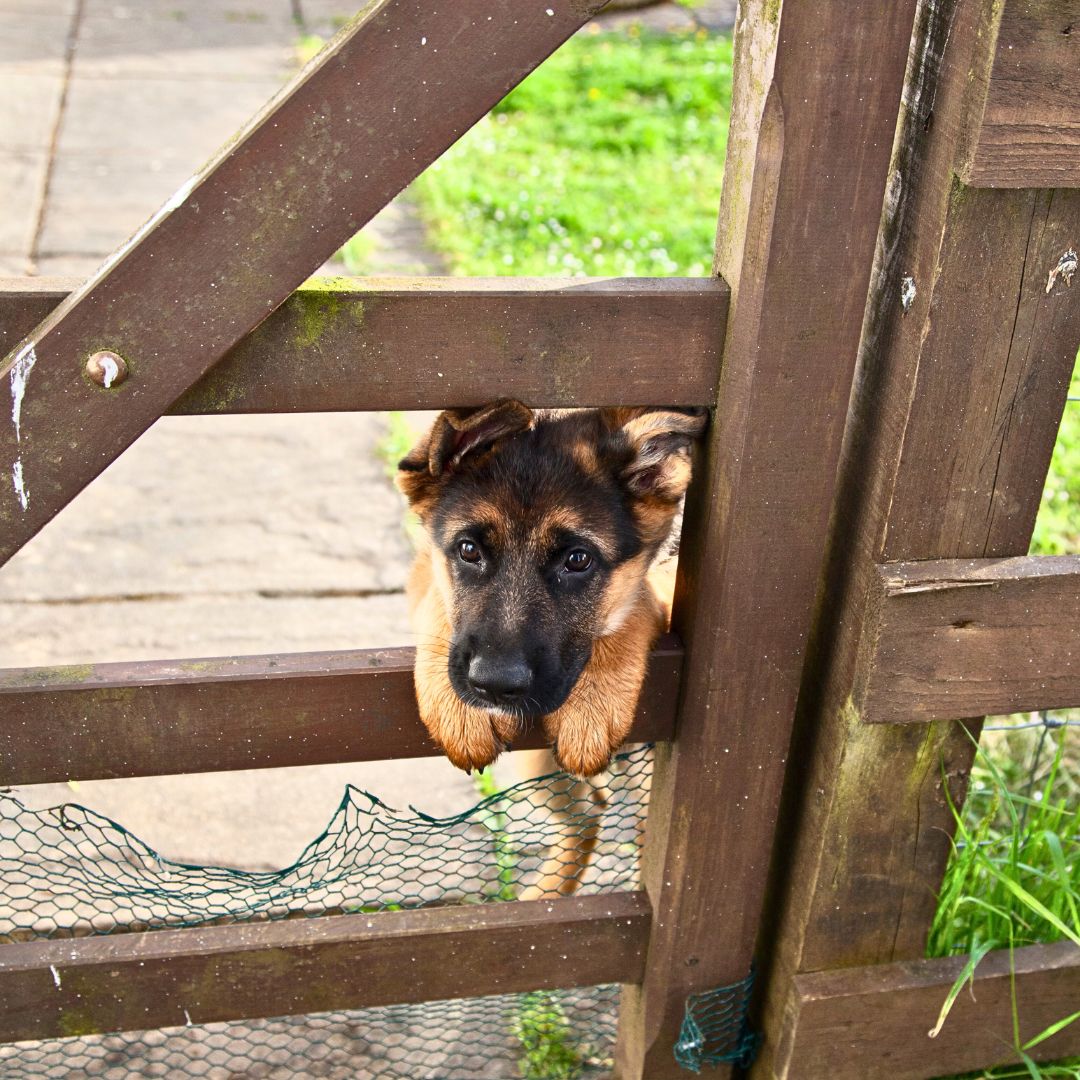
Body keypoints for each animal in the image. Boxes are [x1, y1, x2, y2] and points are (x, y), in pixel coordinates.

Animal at [399, 401, 708, 781]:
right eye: (468, 550)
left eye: (578, 560)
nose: (495, 686)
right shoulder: (424, 566)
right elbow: (437, 599)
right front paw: (460, 709)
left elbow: (637, 601)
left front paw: (592, 702)